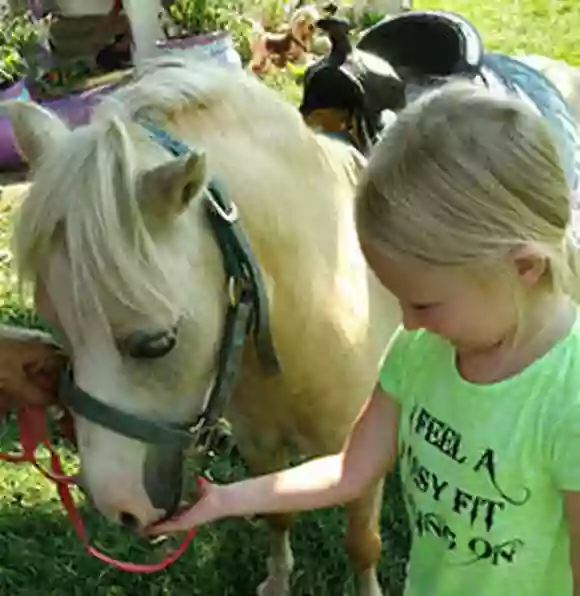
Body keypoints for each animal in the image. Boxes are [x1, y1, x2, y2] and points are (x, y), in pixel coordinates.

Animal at [2, 56, 404, 596]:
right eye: (58, 331)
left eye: (157, 343)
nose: (120, 510)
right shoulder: (260, 443)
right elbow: (277, 515)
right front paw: (277, 582)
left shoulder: (356, 456)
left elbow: (362, 544)